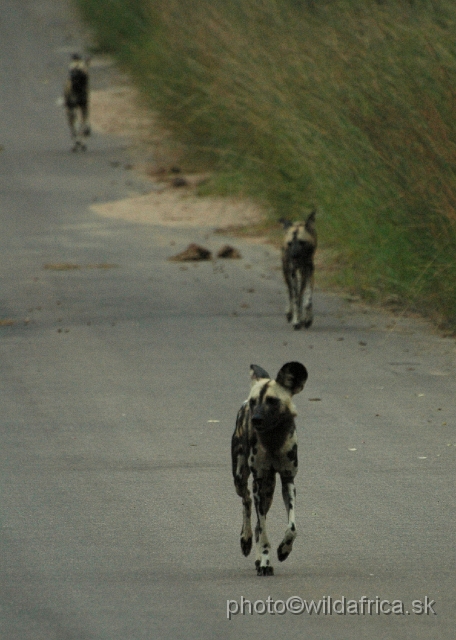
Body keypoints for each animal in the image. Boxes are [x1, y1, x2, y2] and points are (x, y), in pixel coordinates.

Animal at [232, 362, 310, 576]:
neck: (273, 440)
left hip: (269, 490)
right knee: (247, 501)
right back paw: (246, 540)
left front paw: (284, 550)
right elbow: (265, 531)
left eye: (272, 401)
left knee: (259, 522)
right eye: (254, 401)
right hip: (242, 479)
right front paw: (266, 561)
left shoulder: (288, 481)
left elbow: (292, 528)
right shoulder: (259, 482)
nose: (256, 419)